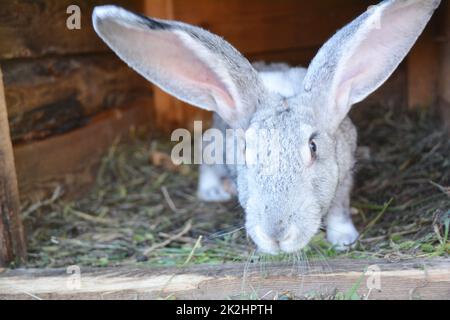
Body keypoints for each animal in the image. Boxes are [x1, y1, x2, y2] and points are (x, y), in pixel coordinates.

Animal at [93, 0, 442, 255]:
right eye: (247, 150)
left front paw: (344, 239)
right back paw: (215, 191)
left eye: (313, 147)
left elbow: (339, 209)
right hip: (213, 145)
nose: (276, 234)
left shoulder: (344, 177)